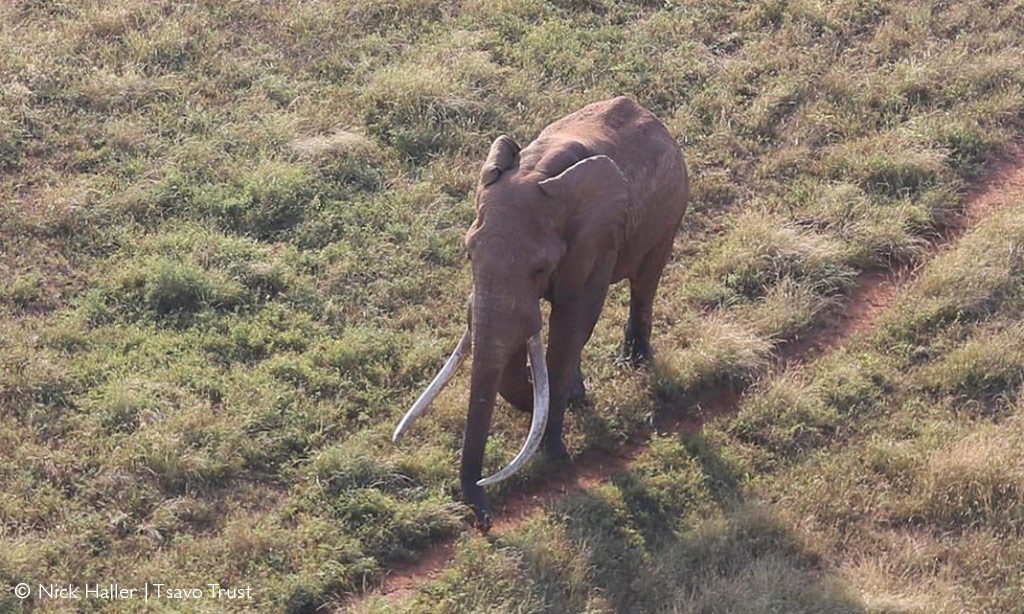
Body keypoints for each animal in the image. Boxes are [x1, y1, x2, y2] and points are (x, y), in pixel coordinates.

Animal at [391, 96, 688, 528]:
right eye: (468, 254)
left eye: (539, 268)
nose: (484, 519)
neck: (539, 171)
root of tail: (649, 114)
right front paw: (558, 404)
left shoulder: (596, 240)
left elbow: (572, 324)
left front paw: (554, 451)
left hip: (671, 208)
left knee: (646, 278)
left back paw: (634, 360)